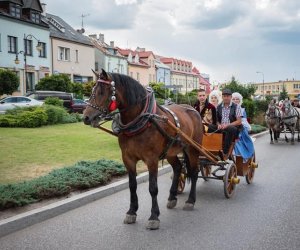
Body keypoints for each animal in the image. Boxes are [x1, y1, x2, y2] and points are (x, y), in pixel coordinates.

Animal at [83, 69, 203, 229]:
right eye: (92, 90)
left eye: (102, 92)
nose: (86, 117)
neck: (142, 120)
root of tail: (192, 109)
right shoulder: (128, 158)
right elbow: (132, 185)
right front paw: (131, 212)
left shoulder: (151, 159)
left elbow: (153, 188)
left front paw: (154, 216)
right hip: (171, 152)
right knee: (178, 168)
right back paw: (172, 197)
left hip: (193, 149)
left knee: (194, 172)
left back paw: (190, 201)